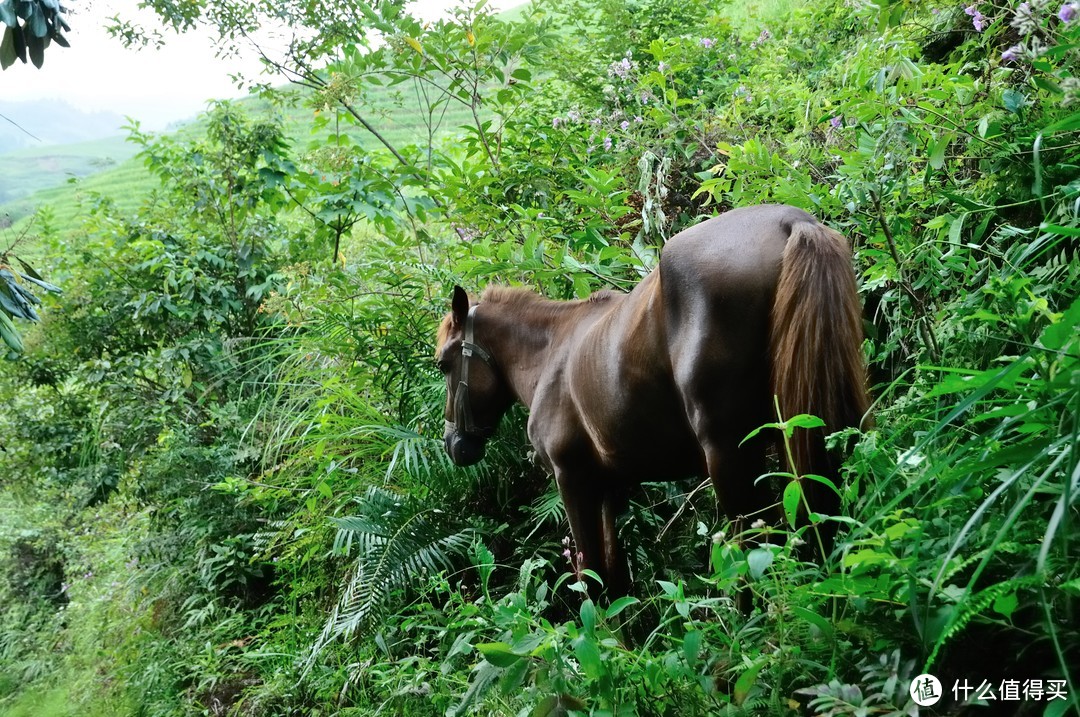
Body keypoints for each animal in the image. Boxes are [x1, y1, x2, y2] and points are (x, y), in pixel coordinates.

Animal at [434, 204, 864, 596]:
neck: (549, 353)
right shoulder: (610, 488)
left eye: (442, 364)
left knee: (751, 551)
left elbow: (592, 578)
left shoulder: (572, 478)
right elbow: (616, 580)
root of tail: (791, 220)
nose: (453, 443)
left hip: (729, 455)